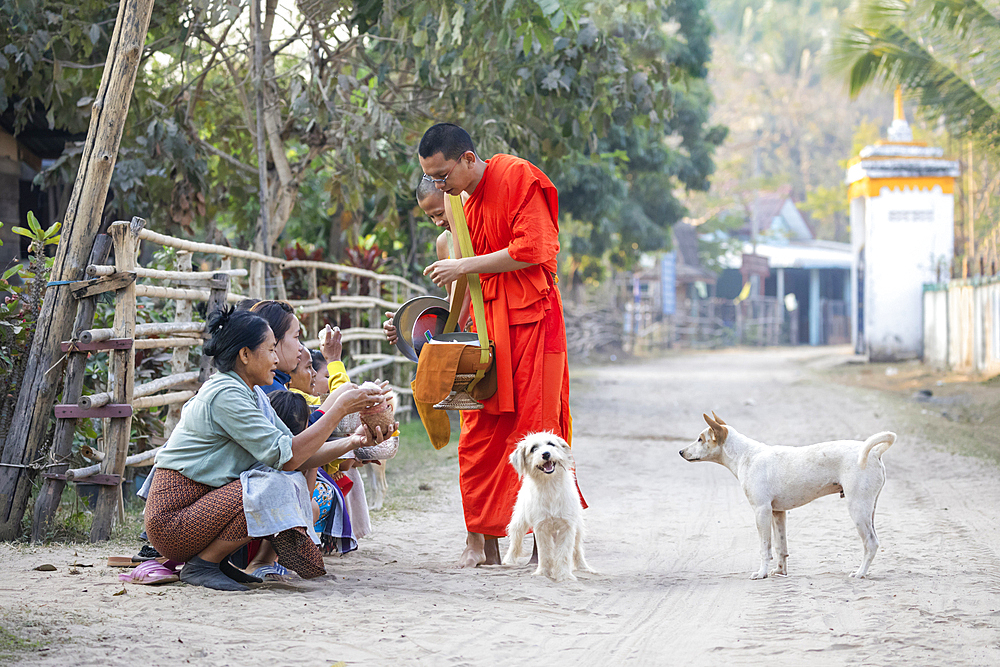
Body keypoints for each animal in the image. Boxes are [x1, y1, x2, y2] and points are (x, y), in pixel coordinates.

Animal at [500, 430, 592, 580]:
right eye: (533, 448)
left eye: (551, 444)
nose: (546, 454)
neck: (550, 485)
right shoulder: (541, 527)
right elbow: (545, 553)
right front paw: (543, 573)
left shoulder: (567, 526)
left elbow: (564, 553)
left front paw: (564, 576)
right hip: (519, 519)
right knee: (516, 539)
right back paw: (509, 560)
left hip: (577, 526)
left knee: (577, 549)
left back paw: (584, 568)